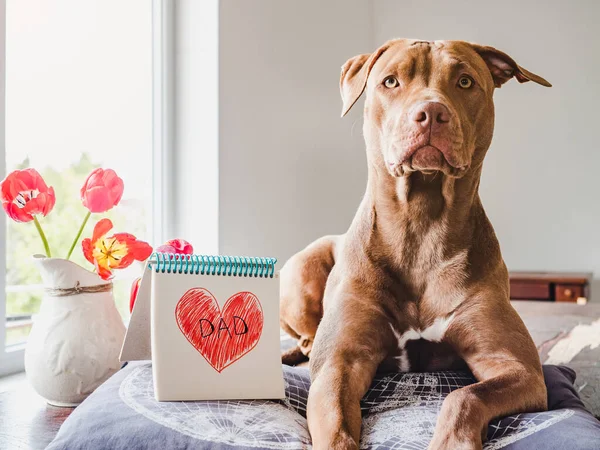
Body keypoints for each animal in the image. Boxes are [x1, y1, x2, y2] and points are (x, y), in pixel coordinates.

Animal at [278, 39, 552, 450]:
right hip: (302, 270)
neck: (421, 229)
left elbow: (464, 396)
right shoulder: (339, 366)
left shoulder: (518, 367)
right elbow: (338, 425)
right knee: (308, 338)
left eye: (465, 81)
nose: (431, 113)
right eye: (391, 81)